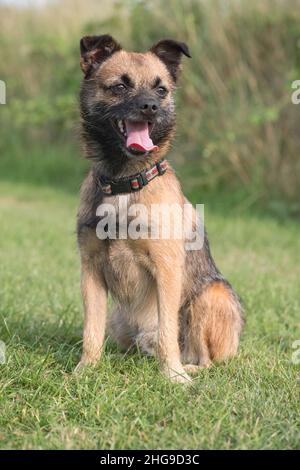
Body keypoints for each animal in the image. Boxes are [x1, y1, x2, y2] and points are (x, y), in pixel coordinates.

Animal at [76, 35, 243, 382]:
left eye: (161, 90)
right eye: (120, 86)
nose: (150, 106)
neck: (125, 182)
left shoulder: (166, 269)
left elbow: (167, 331)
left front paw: (173, 376)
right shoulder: (91, 270)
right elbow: (91, 332)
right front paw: (85, 370)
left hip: (210, 295)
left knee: (203, 358)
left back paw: (187, 368)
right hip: (119, 319)